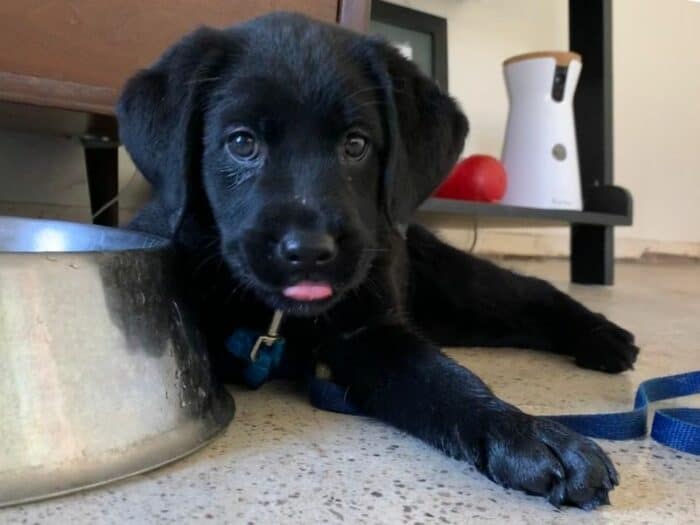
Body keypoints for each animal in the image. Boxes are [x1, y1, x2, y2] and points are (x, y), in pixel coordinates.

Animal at [117, 12, 636, 510]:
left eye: (356, 145)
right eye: (241, 143)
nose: (309, 250)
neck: (276, 321)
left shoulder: (373, 335)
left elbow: (449, 380)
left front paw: (526, 434)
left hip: (454, 289)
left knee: (534, 294)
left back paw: (604, 337)